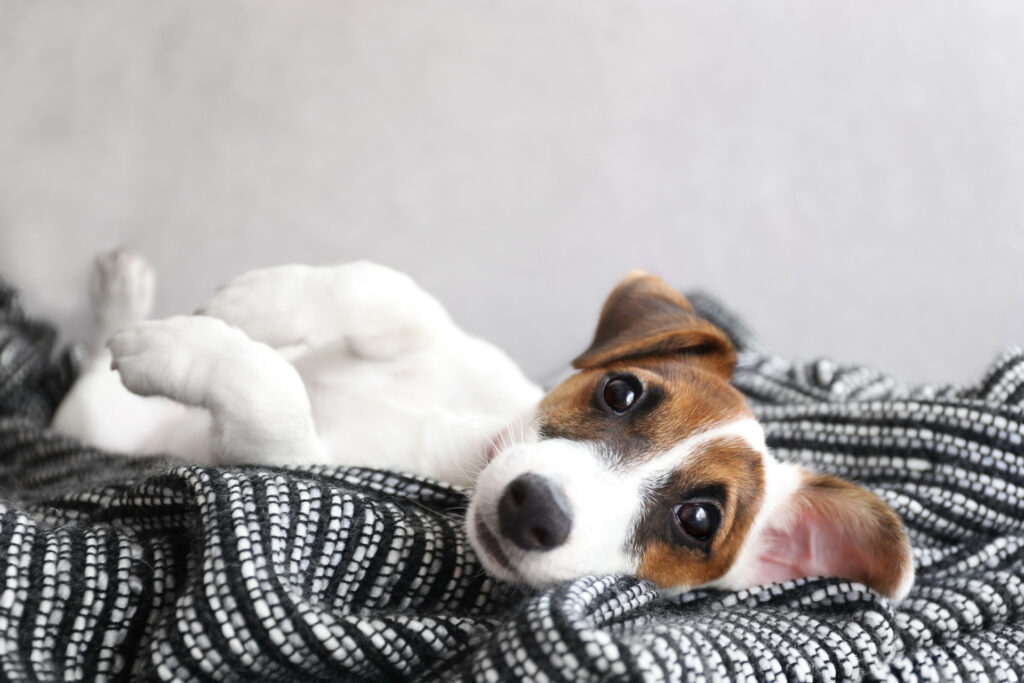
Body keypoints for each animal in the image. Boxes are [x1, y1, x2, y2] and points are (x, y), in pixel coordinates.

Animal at [51, 249, 913, 598]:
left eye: (698, 519)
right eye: (621, 393)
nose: (534, 508)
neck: (465, 451)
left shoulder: (282, 454)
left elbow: (273, 391)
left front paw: (185, 345)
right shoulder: (434, 338)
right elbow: (385, 290)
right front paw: (260, 302)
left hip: (94, 418)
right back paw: (125, 292)